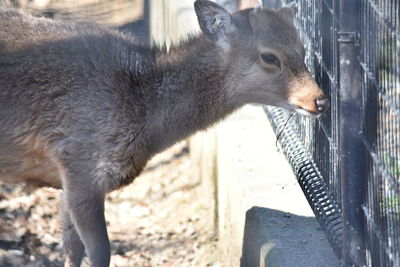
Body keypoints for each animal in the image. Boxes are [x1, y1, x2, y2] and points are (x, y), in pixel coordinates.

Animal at [0, 1, 330, 266]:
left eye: (302, 50)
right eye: (269, 56)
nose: (320, 100)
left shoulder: (69, 179)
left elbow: (71, 249)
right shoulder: (80, 162)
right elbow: (100, 252)